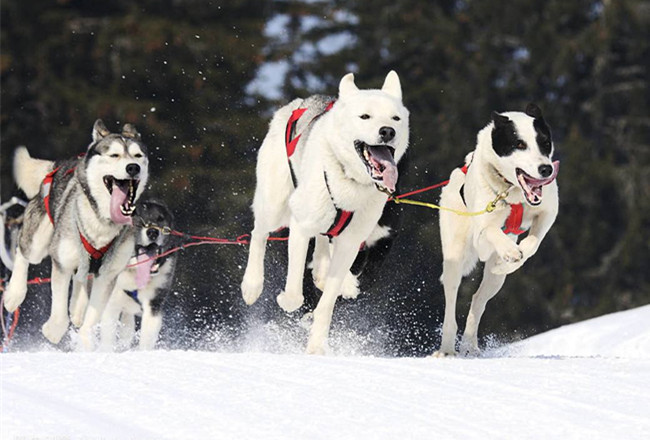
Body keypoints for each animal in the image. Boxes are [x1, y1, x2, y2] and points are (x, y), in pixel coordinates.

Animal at [240, 72, 408, 354]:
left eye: (395, 118)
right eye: (365, 116)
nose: (388, 131)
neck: (349, 180)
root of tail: (299, 102)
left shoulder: (352, 243)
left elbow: (327, 303)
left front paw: (317, 345)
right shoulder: (300, 226)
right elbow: (295, 293)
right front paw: (286, 300)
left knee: (322, 243)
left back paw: (322, 270)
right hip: (275, 204)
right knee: (259, 233)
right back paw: (252, 284)